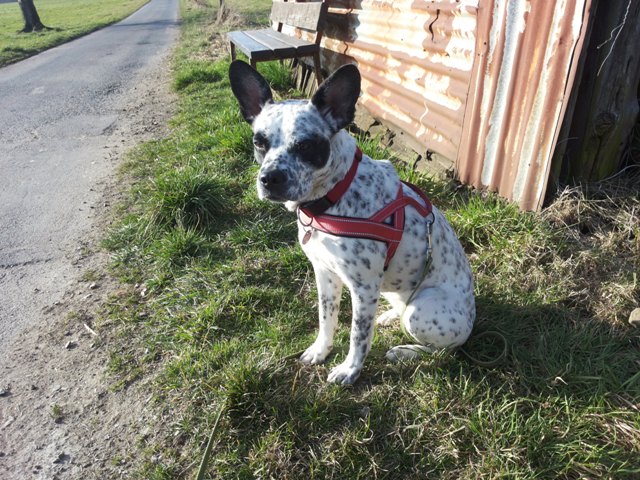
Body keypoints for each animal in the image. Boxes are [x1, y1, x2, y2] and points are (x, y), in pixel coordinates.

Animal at [230, 60, 476, 384]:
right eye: (259, 142)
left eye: (306, 146)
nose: (270, 179)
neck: (333, 196)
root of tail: (473, 317)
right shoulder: (324, 274)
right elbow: (327, 319)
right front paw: (321, 351)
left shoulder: (363, 287)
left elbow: (358, 335)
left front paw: (350, 369)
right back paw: (389, 316)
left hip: (420, 310)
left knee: (445, 349)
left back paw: (404, 351)